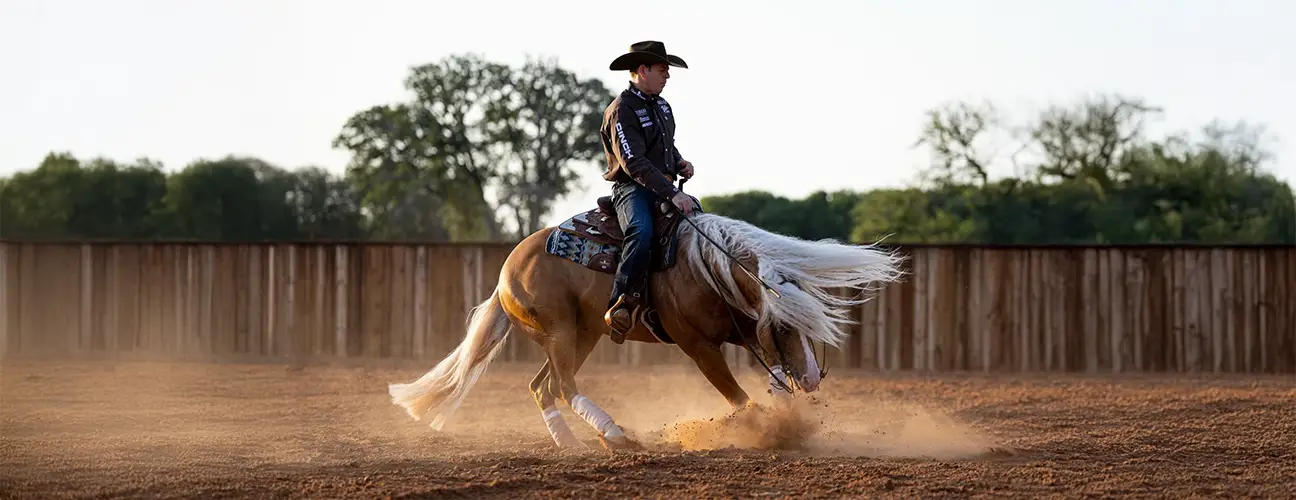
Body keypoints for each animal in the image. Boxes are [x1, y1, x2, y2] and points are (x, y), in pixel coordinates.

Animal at [386, 193, 906, 450]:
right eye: (783, 327)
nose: (814, 379)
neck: (702, 266)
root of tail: (506, 272)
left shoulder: (741, 334)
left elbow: (771, 381)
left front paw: (787, 417)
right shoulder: (699, 347)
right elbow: (739, 398)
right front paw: (767, 431)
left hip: (583, 334)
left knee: (543, 387)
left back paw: (572, 442)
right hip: (560, 332)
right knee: (563, 385)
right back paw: (615, 434)